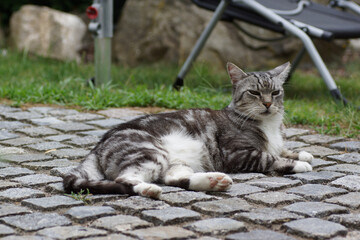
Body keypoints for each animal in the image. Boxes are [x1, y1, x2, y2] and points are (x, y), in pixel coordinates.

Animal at [63, 62, 314, 199]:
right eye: (254, 92)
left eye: (275, 93)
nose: (268, 104)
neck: (270, 126)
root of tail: (98, 145)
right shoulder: (238, 154)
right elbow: (270, 157)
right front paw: (299, 164)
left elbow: (281, 150)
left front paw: (303, 154)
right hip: (150, 153)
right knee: (126, 179)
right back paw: (150, 189)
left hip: (176, 162)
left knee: (175, 179)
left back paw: (213, 182)